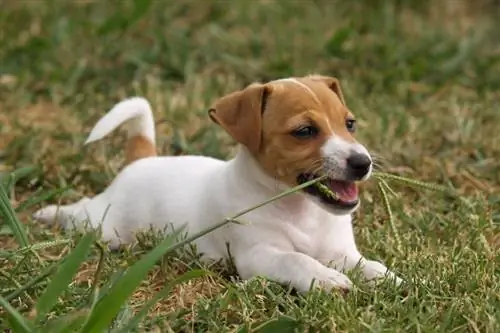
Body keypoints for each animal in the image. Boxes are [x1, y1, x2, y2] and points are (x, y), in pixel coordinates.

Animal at [33, 74, 402, 290]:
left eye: (350, 124)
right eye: (305, 131)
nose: (362, 163)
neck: (300, 210)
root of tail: (142, 160)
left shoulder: (340, 251)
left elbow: (367, 264)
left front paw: (390, 278)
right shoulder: (257, 255)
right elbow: (295, 259)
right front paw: (325, 278)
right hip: (105, 226)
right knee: (82, 213)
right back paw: (48, 214)